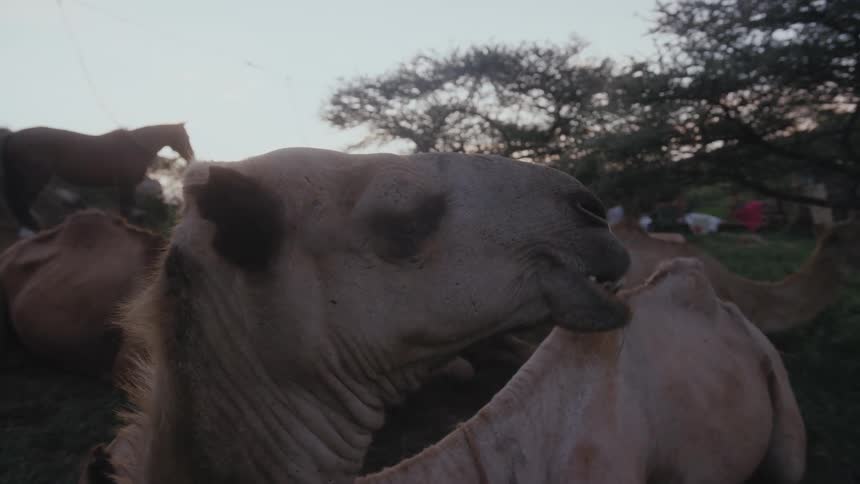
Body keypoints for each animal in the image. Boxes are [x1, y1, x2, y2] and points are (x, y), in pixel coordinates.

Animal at [0, 123, 194, 235]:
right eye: (185, 136)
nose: (191, 156)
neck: (136, 146)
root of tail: (13, 136)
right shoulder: (126, 184)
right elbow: (127, 210)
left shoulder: (124, 186)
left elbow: (126, 210)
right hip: (35, 178)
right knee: (21, 205)